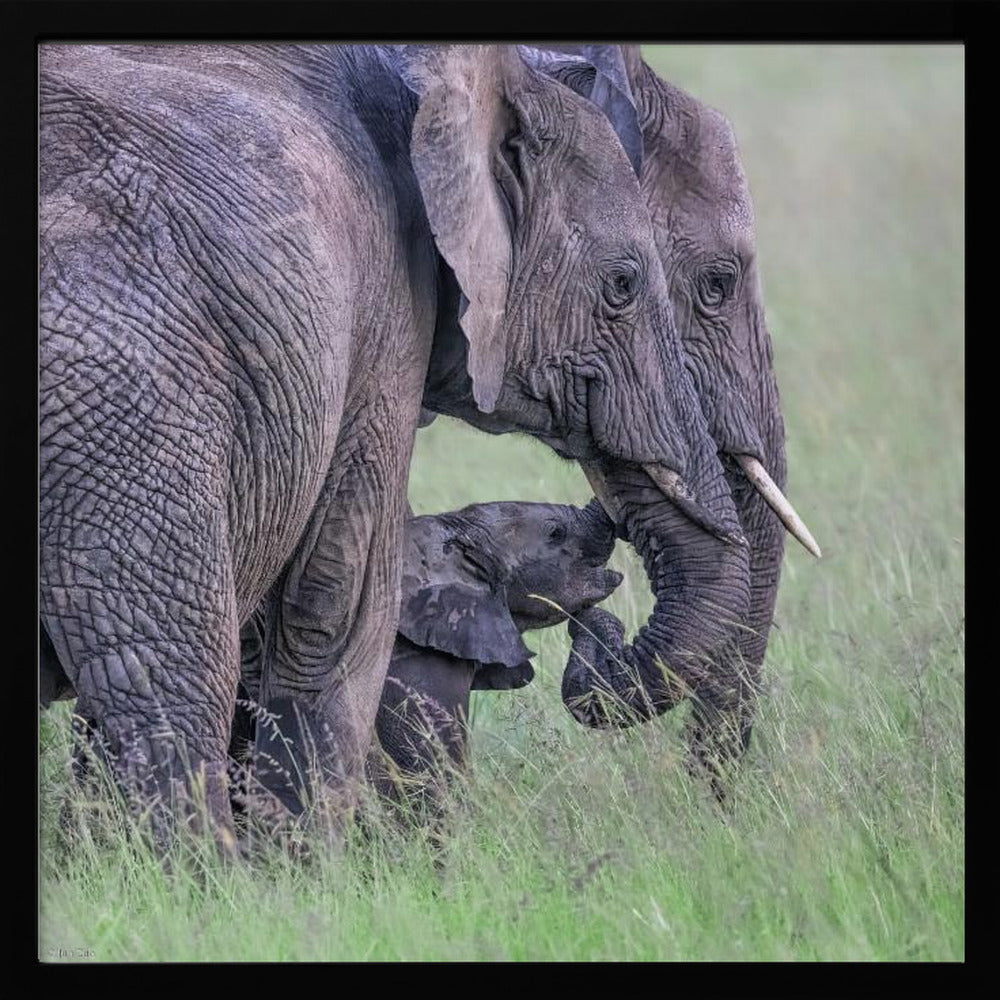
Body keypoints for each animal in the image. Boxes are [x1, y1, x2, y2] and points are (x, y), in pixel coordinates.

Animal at [40, 42, 753, 852]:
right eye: (624, 284)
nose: (600, 621)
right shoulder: (382, 316)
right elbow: (333, 607)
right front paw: (306, 874)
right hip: (129, 401)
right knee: (165, 678)